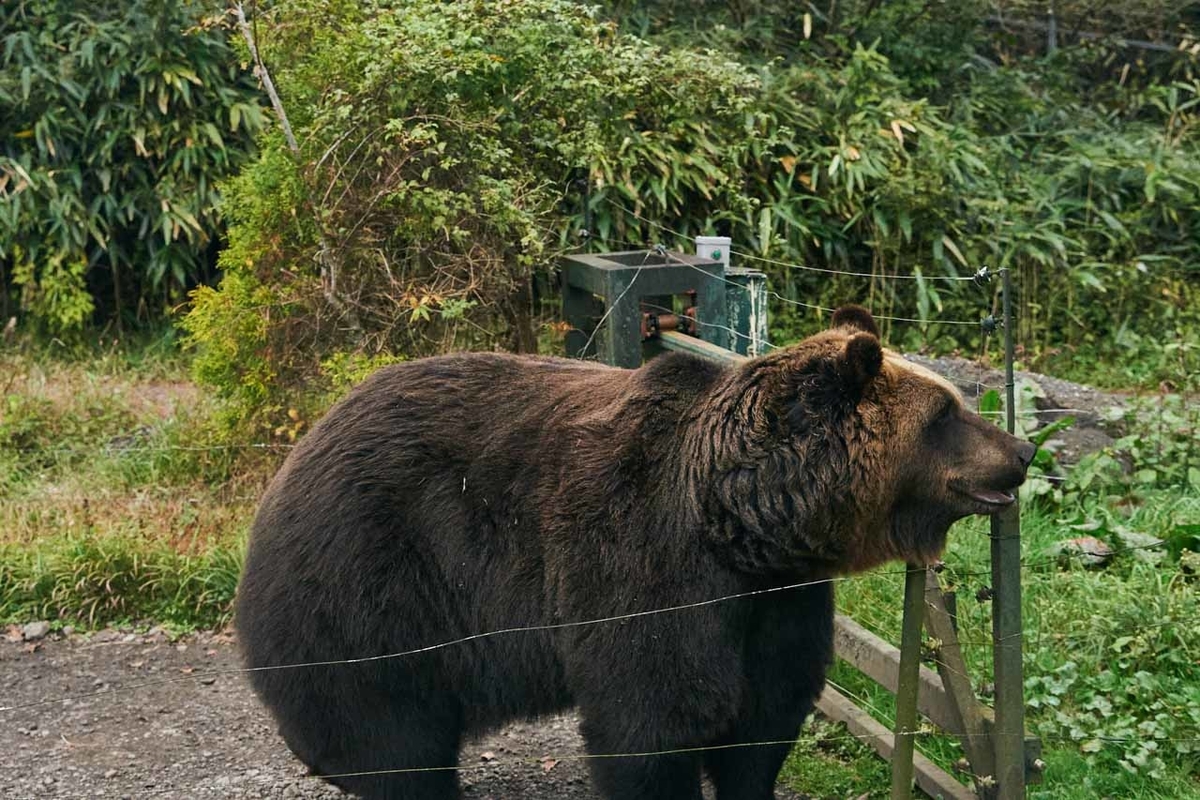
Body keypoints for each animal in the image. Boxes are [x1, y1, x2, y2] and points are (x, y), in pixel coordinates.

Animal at [234, 307, 1032, 800]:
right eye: (946, 414)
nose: (1022, 451)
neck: (741, 527)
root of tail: (298, 451)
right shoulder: (641, 564)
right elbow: (652, 720)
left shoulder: (778, 603)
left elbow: (766, 715)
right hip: (372, 576)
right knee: (384, 729)